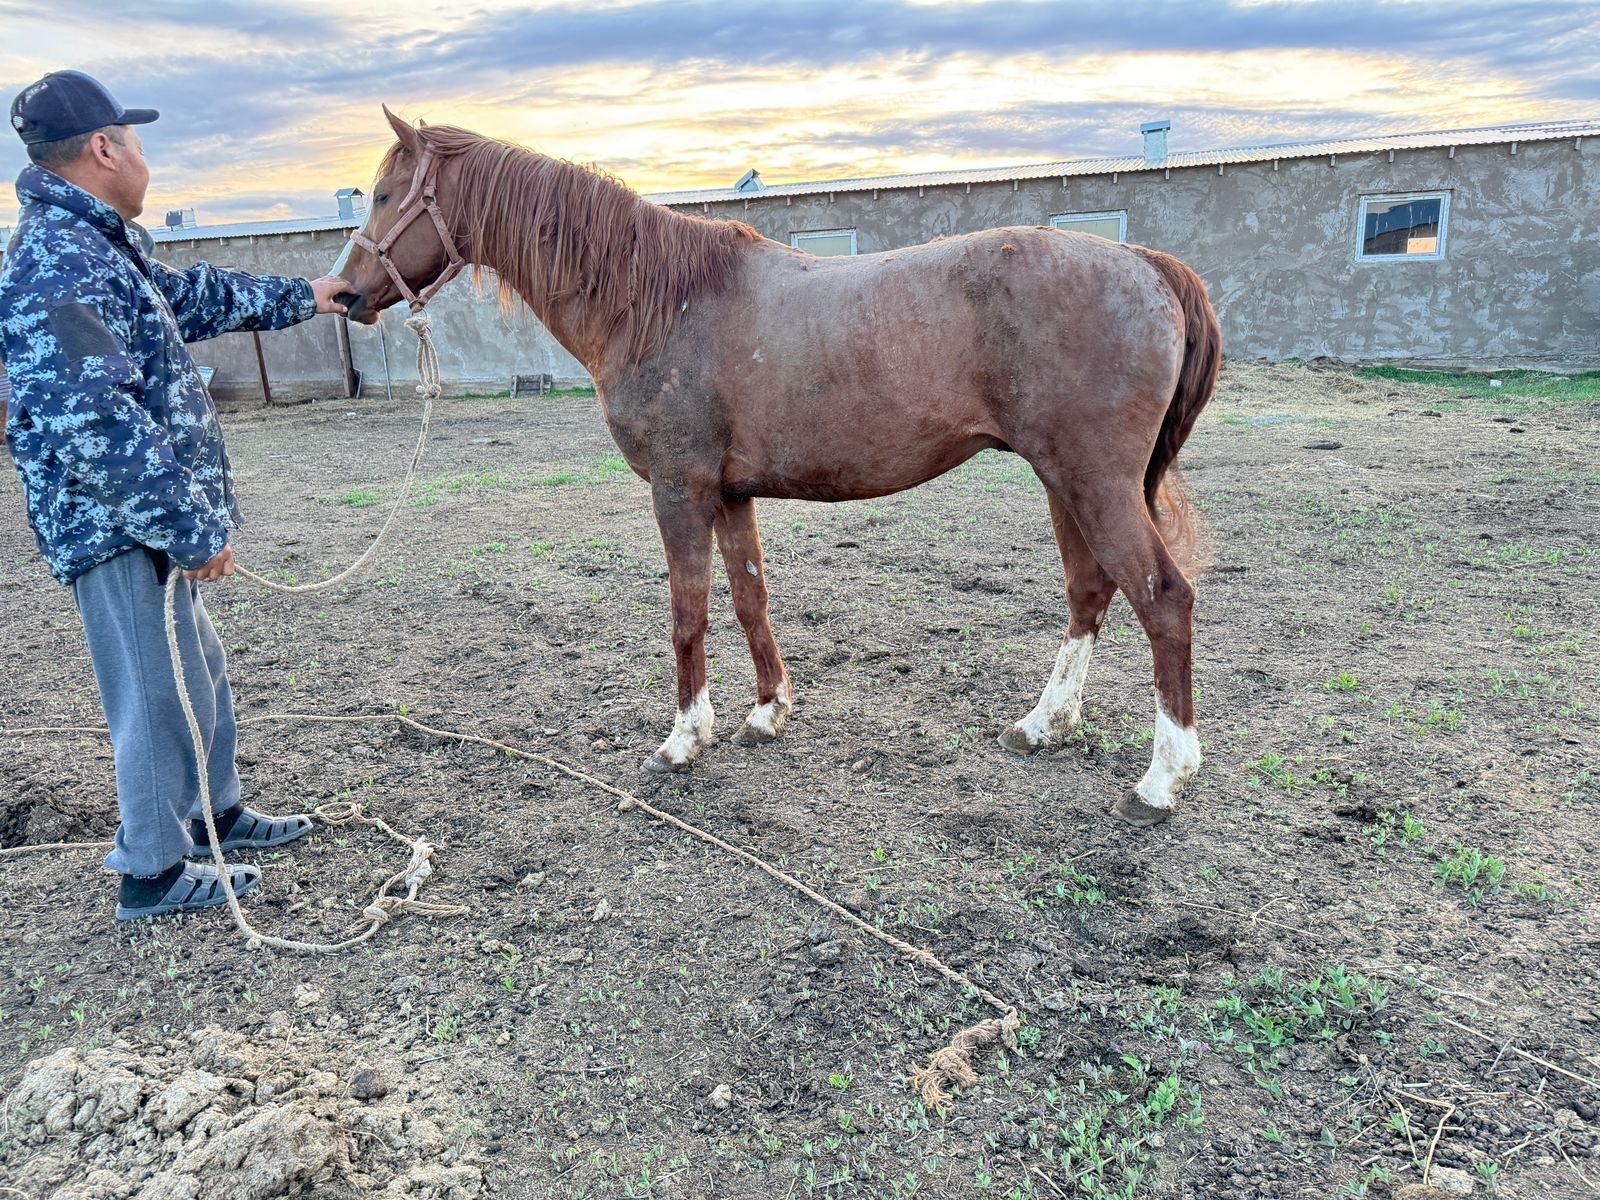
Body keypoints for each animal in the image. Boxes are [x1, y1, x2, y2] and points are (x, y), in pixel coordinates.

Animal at [337, 110, 1209, 825]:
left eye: (385, 194)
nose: (343, 291)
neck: (658, 301)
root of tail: (1145, 264)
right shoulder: (729, 495)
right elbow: (750, 597)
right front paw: (767, 712)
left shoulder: (679, 491)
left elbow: (688, 613)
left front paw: (685, 738)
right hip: (1067, 482)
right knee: (1089, 592)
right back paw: (1044, 725)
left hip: (1093, 484)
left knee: (1162, 599)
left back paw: (1162, 779)